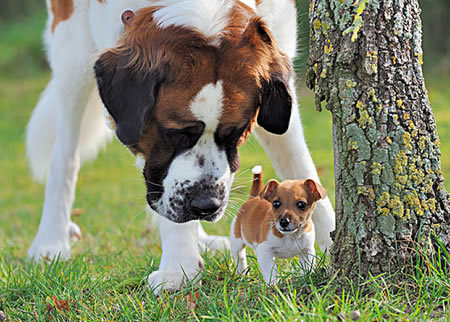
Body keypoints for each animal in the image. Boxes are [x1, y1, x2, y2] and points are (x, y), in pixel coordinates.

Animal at [24, 0, 334, 294]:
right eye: (175, 133)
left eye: (234, 134)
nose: (206, 206)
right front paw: (178, 270)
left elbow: (299, 163)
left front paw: (329, 236)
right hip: (71, 54)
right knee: (65, 152)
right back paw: (51, 241)